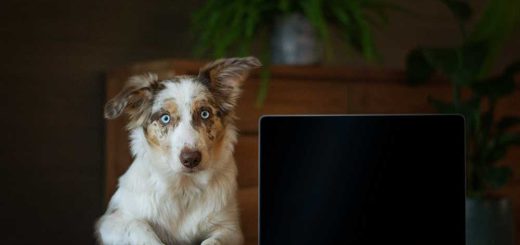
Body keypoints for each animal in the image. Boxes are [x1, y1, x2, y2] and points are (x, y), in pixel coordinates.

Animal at [95, 56, 260, 244]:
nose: (191, 159)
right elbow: (138, 225)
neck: (184, 187)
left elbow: (212, 241)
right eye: (165, 118)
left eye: (204, 113)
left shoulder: (230, 229)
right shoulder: (111, 220)